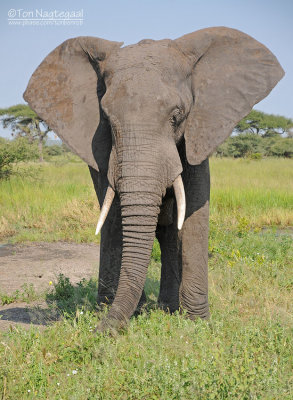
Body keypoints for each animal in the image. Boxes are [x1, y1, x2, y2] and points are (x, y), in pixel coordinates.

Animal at [23, 25, 282, 332]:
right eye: (106, 118)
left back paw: (168, 309)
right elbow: (113, 213)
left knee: (170, 230)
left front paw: (198, 324)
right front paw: (123, 313)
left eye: (177, 116)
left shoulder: (200, 129)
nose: (97, 331)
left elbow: (193, 212)